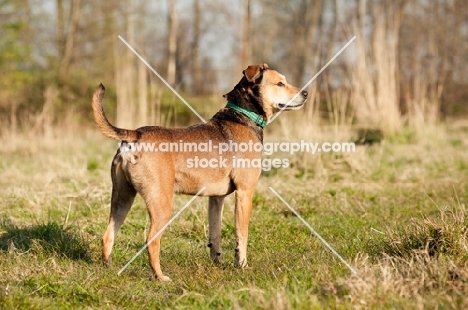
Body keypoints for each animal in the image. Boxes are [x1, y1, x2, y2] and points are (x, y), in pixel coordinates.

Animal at [91, 63, 308, 280]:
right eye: (280, 83)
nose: (305, 93)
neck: (244, 116)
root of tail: (135, 135)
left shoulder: (216, 198)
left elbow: (215, 233)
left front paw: (217, 262)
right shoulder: (245, 192)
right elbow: (242, 235)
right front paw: (242, 265)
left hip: (122, 197)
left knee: (108, 235)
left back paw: (110, 269)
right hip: (160, 202)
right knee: (151, 240)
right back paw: (161, 277)